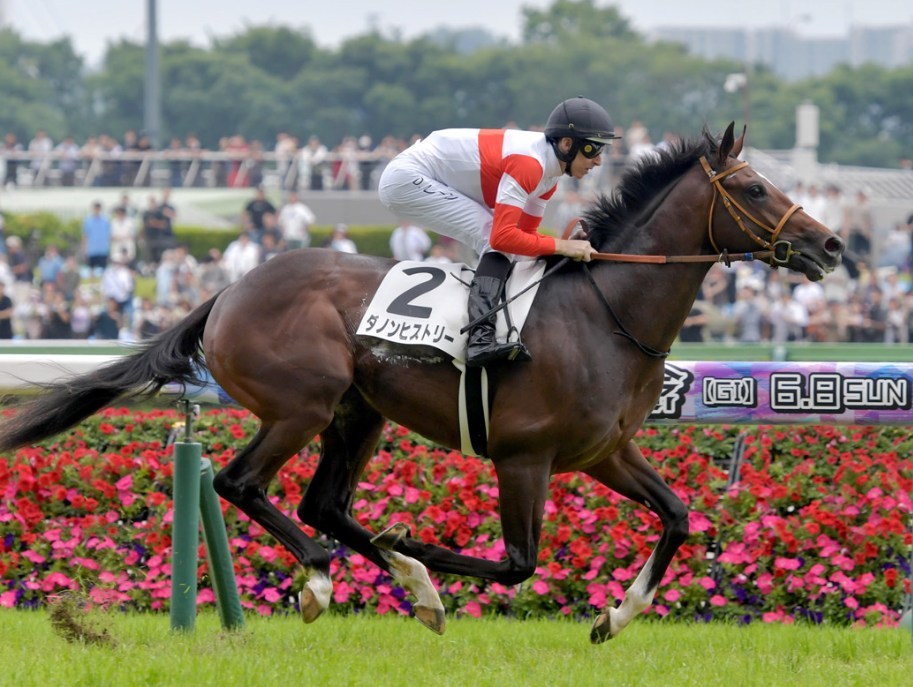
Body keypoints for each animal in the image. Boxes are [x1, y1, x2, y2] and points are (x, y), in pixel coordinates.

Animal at [0, 123, 844, 643]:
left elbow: (675, 514)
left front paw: (616, 614)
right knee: (246, 484)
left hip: (359, 413)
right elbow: (517, 562)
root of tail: (229, 290)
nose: (831, 244)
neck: (604, 314)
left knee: (322, 503)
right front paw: (408, 540)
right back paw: (326, 578)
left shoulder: (603, 451)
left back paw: (404, 582)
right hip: (301, 405)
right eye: (754, 188)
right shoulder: (524, 457)